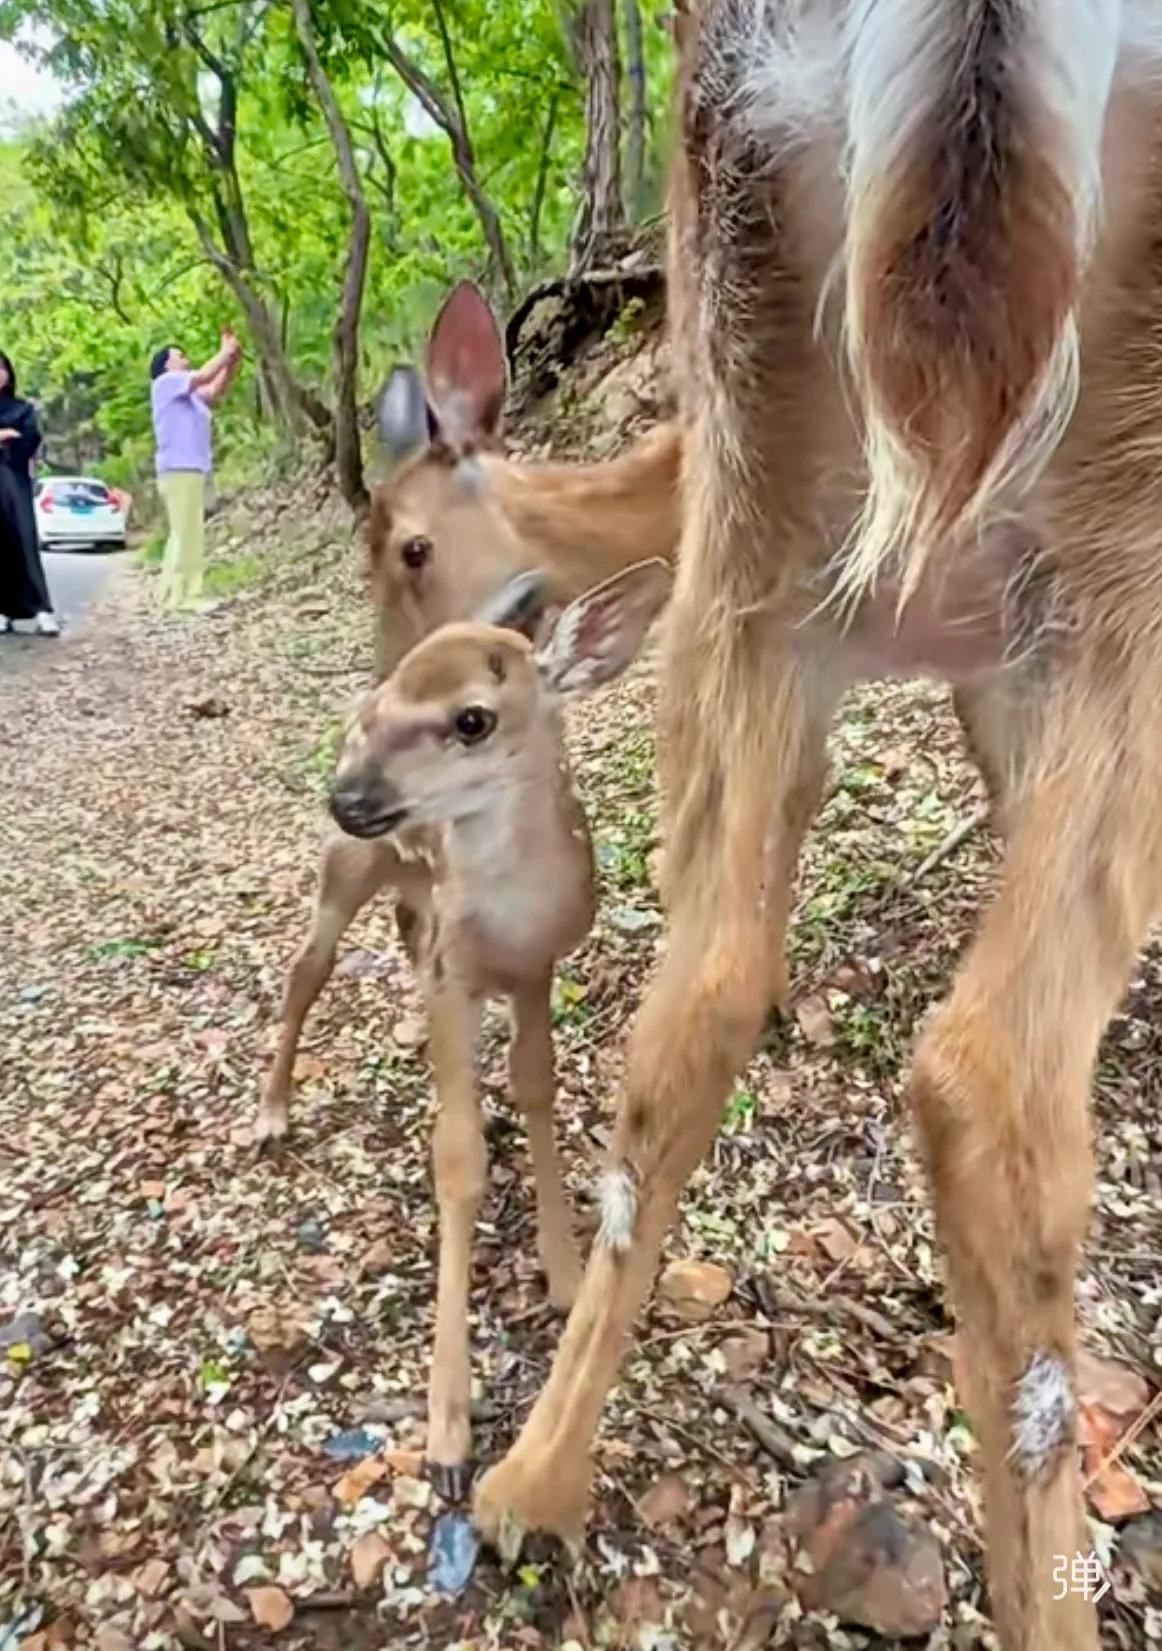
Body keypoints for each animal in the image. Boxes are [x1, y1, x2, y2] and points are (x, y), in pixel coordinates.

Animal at [326, 557, 672, 1495]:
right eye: (377, 712)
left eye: (471, 719)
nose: (350, 795)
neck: (511, 918)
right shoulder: (460, 974)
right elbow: (458, 1158)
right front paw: (448, 1431)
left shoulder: (535, 968)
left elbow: (537, 1084)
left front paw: (564, 1273)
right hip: (345, 873)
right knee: (306, 971)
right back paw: (270, 1113)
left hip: (410, 899)